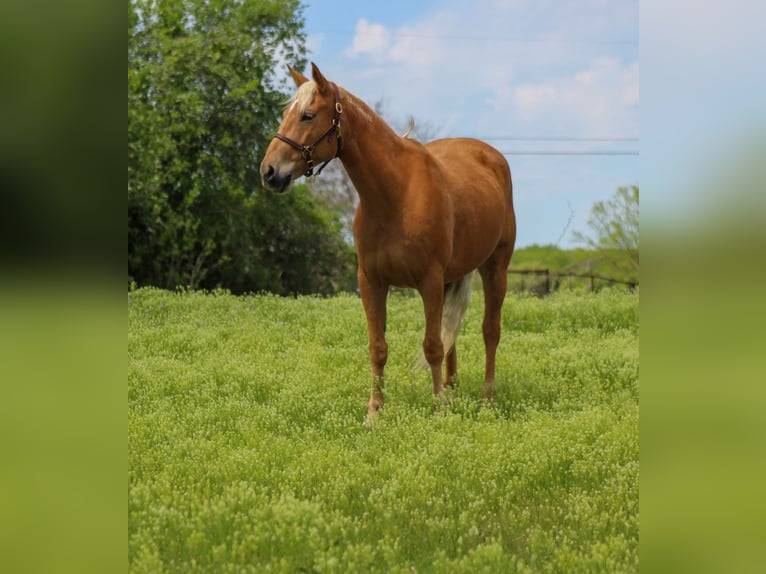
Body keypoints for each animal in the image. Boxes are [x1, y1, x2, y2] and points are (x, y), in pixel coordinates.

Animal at [260, 64, 520, 424]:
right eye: (286, 114)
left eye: (308, 116)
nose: (269, 172)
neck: (395, 195)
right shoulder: (371, 281)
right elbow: (378, 347)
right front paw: (374, 413)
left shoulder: (430, 281)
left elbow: (432, 345)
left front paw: (438, 409)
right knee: (453, 335)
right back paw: (453, 389)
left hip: (495, 268)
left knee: (489, 331)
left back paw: (487, 399)